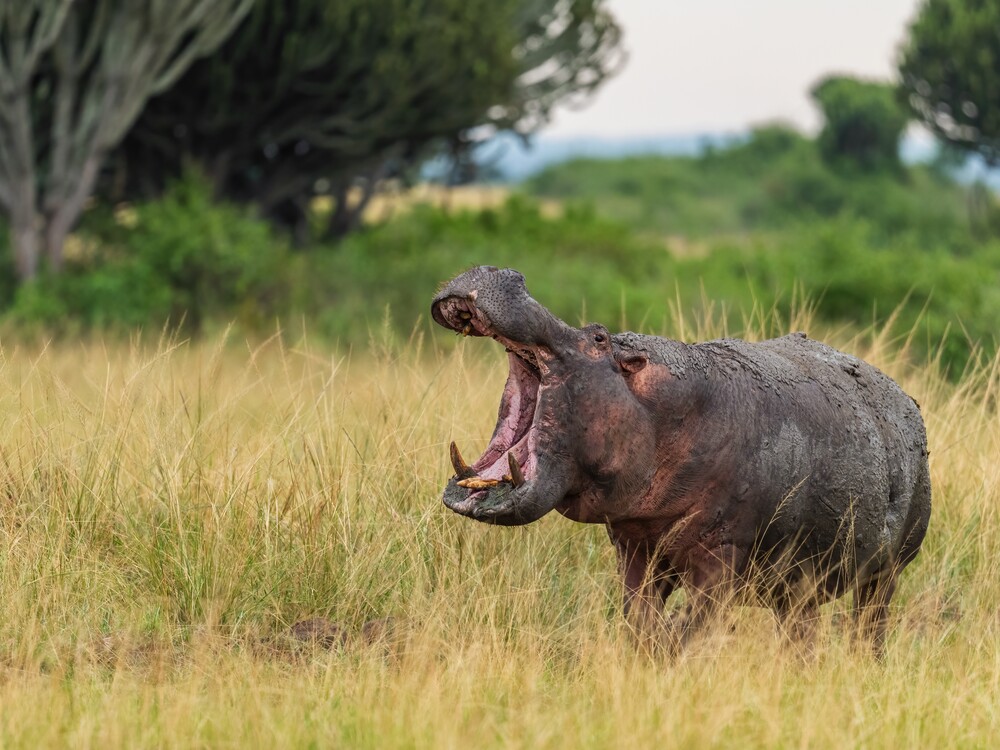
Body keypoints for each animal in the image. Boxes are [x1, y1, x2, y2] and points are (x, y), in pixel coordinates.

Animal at [432, 266, 931, 653]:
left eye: (598, 336)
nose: (503, 271)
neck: (661, 408)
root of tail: (906, 400)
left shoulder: (722, 555)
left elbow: (689, 628)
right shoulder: (634, 543)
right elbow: (638, 621)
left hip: (885, 573)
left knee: (870, 627)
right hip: (799, 587)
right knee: (801, 634)